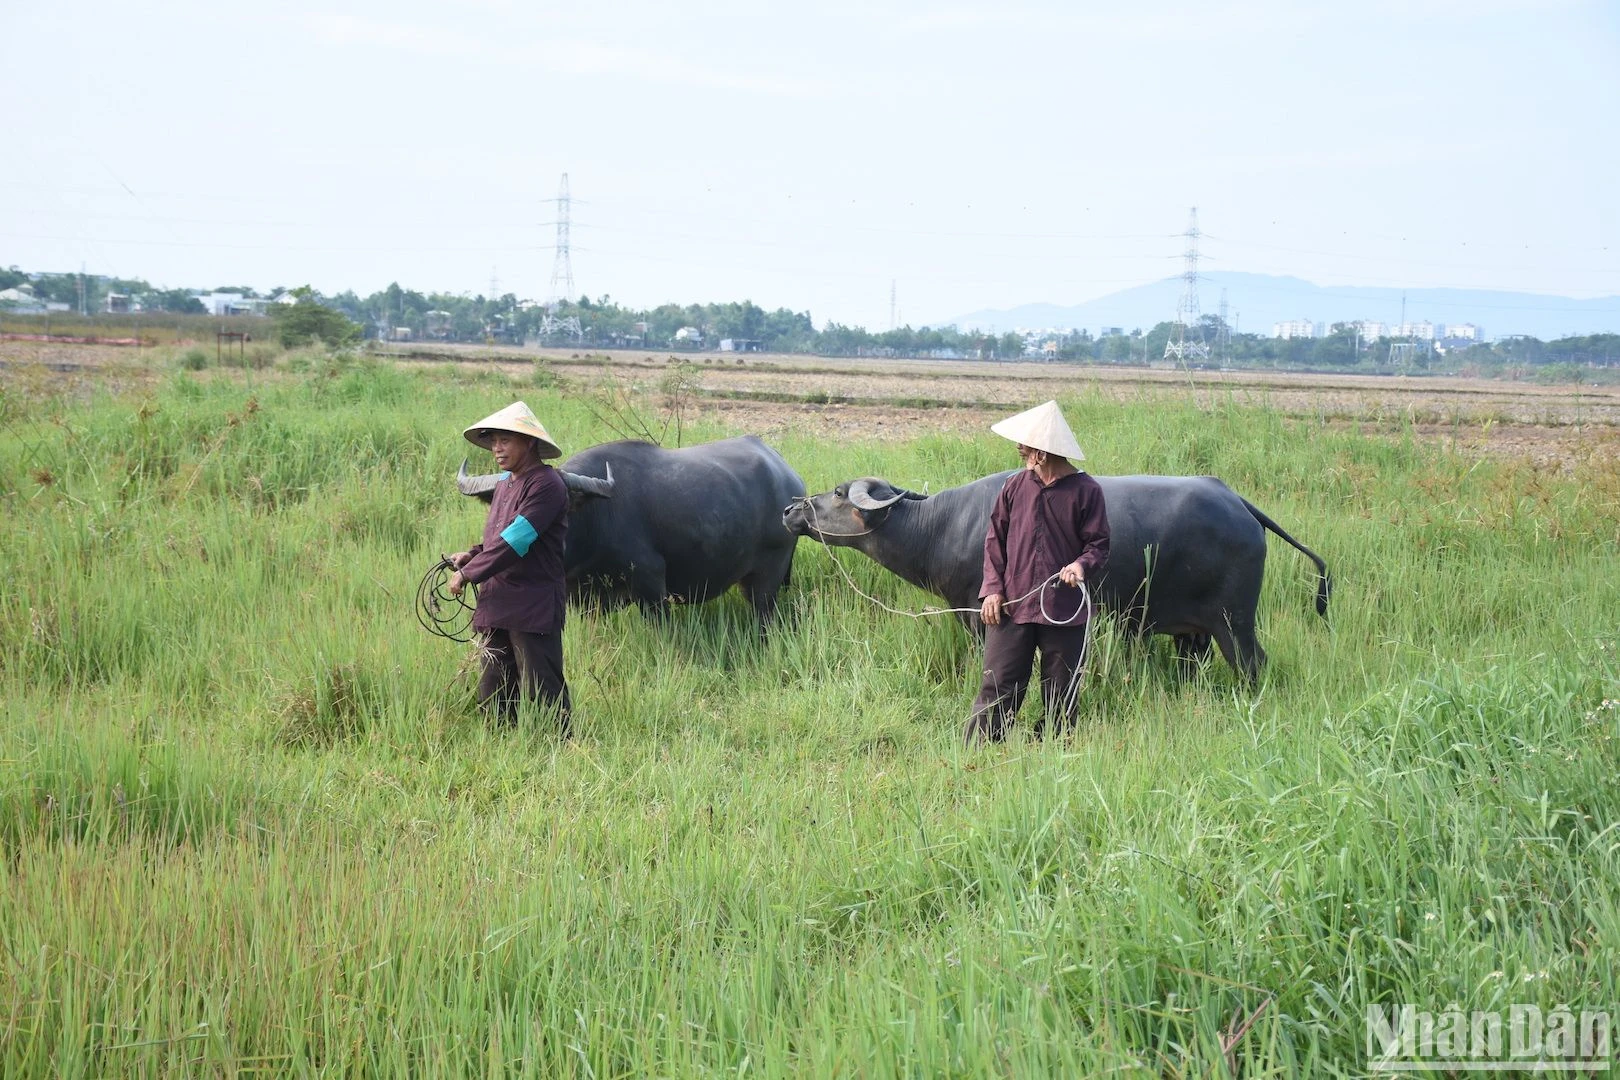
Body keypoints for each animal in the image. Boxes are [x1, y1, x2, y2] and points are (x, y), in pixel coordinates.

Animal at [784, 469, 1328, 680]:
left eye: (838, 492)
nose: (791, 509)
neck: (940, 526)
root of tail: (1237, 502)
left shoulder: (982, 616)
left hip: (1234, 623)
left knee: (1253, 665)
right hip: (1190, 635)